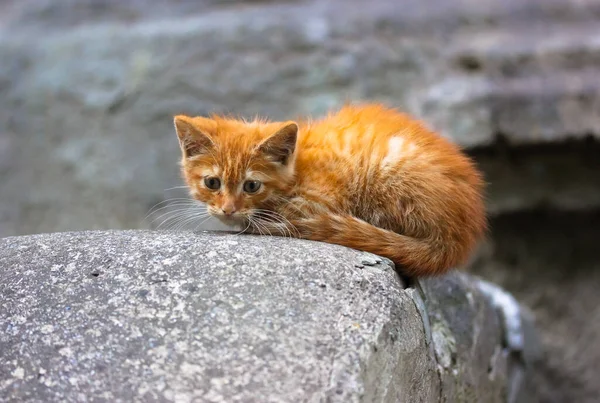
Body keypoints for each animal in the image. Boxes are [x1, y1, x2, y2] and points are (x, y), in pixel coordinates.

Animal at [171, 103, 486, 278]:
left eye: (251, 185)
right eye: (212, 183)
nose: (227, 209)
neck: (299, 164)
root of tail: (457, 239)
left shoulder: (318, 202)